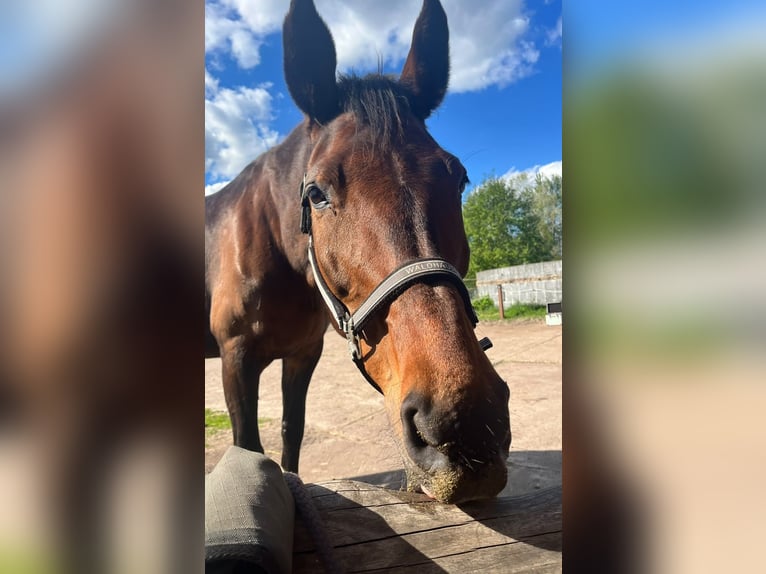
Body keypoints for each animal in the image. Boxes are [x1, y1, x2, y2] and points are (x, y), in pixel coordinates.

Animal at [205, 0, 511, 504]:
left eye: (460, 178)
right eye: (315, 194)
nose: (465, 426)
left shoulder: (302, 355)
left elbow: (291, 431)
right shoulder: (236, 358)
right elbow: (248, 448)